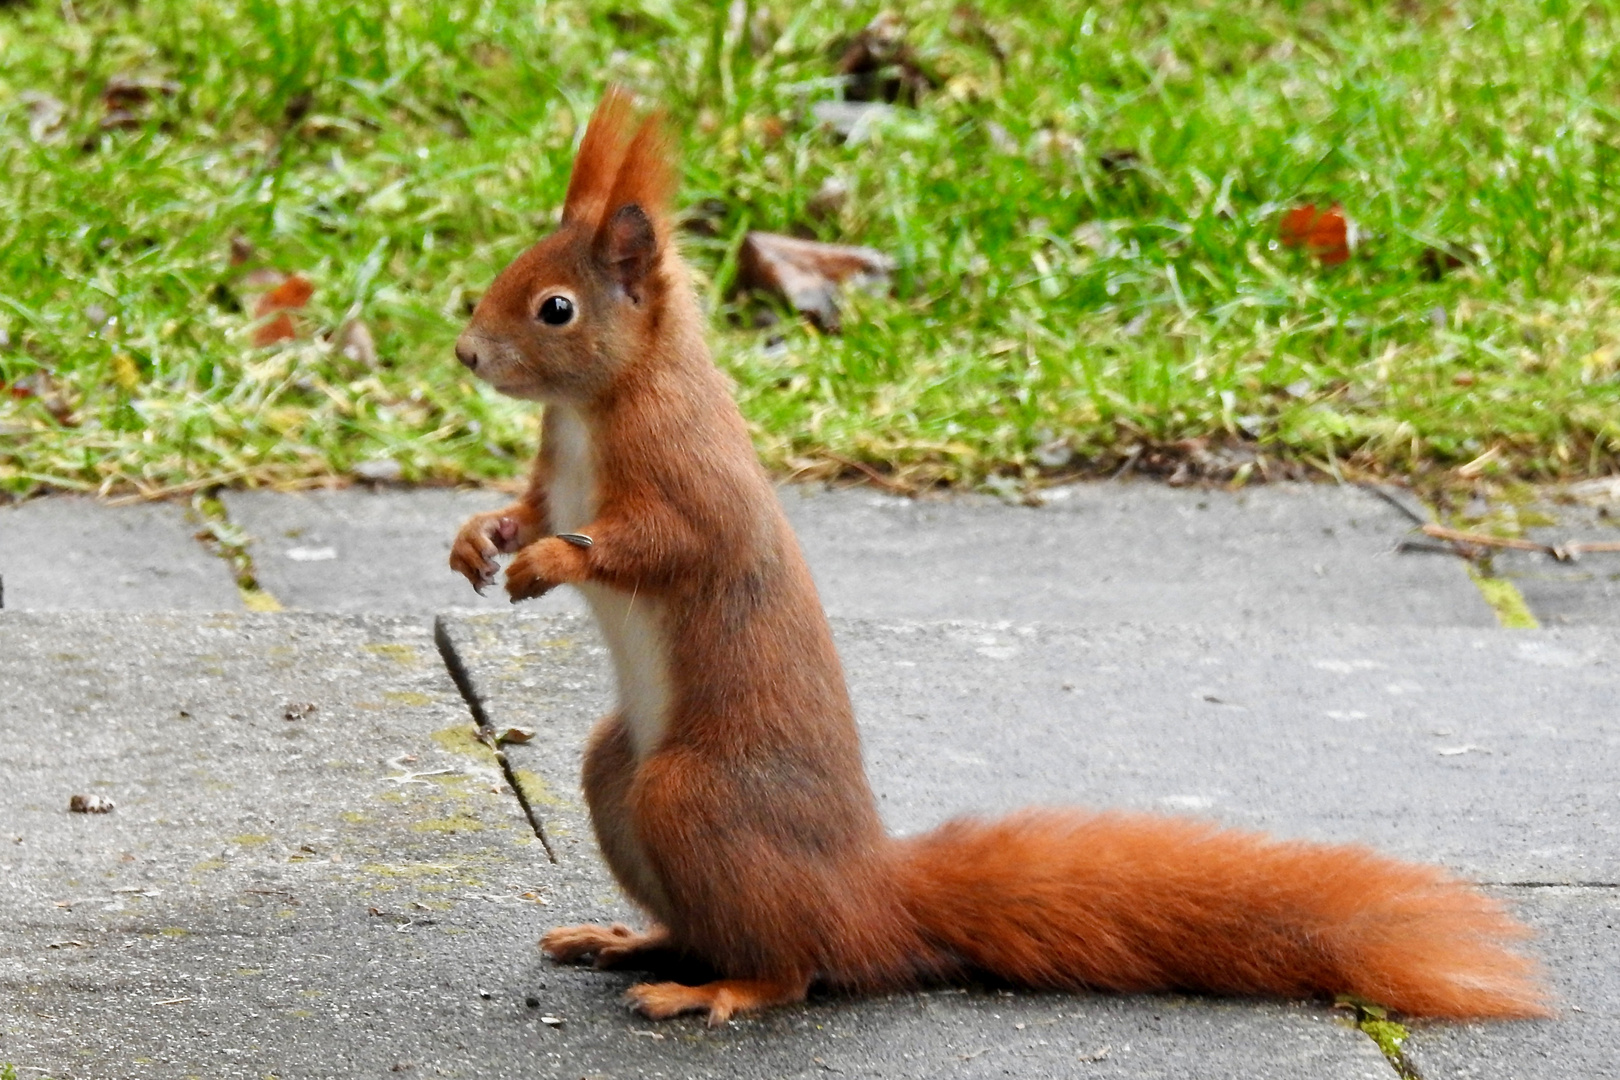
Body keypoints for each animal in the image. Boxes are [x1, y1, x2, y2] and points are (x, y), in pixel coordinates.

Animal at [447, 88, 1542, 1029]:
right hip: (619, 774)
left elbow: (661, 542)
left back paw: (716, 989)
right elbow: (530, 509)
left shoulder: (686, 472)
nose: (465, 355)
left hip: (695, 796)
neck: (597, 405)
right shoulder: (556, 475)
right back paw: (633, 940)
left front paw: (551, 566)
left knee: (794, 965)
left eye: (555, 308)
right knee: (701, 914)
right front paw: (478, 540)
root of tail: (867, 893)